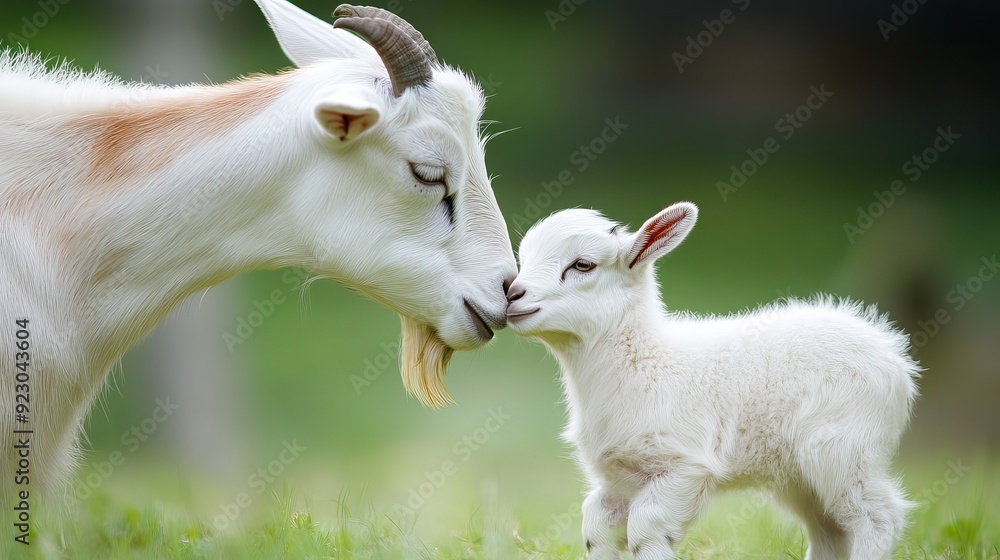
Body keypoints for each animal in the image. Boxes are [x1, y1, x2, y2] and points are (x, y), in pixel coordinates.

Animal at [507, 203, 920, 560]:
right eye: (522, 261)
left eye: (583, 264)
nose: (512, 294)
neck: (646, 361)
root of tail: (894, 355)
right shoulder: (618, 478)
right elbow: (597, 528)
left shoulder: (685, 464)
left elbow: (646, 530)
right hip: (800, 473)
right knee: (830, 529)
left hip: (843, 447)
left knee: (877, 518)